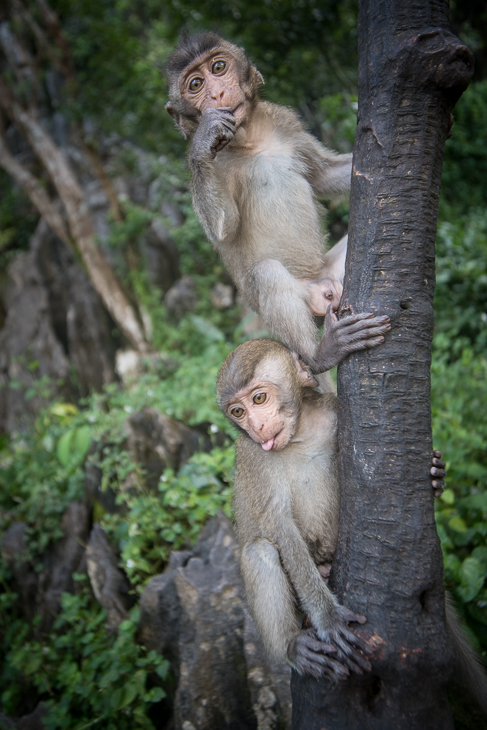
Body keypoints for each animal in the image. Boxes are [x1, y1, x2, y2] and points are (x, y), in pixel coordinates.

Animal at [166, 34, 390, 372]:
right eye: (195, 84)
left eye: (218, 67)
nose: (217, 94)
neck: (248, 140)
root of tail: (321, 287)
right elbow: (223, 227)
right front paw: (205, 137)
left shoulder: (284, 121)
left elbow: (324, 176)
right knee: (267, 272)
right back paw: (322, 353)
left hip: (335, 276)